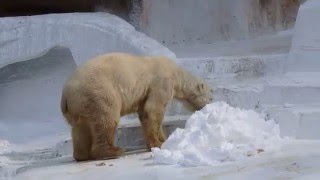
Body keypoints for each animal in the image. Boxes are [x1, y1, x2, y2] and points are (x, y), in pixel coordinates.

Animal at [61, 52, 214, 161]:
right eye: (211, 97)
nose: (210, 105)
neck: (176, 73)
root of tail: (66, 95)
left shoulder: (144, 94)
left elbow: (145, 114)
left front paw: (162, 140)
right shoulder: (162, 83)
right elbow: (153, 109)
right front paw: (159, 143)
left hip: (81, 104)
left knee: (81, 127)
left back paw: (82, 155)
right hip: (98, 92)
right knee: (107, 119)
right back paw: (113, 151)